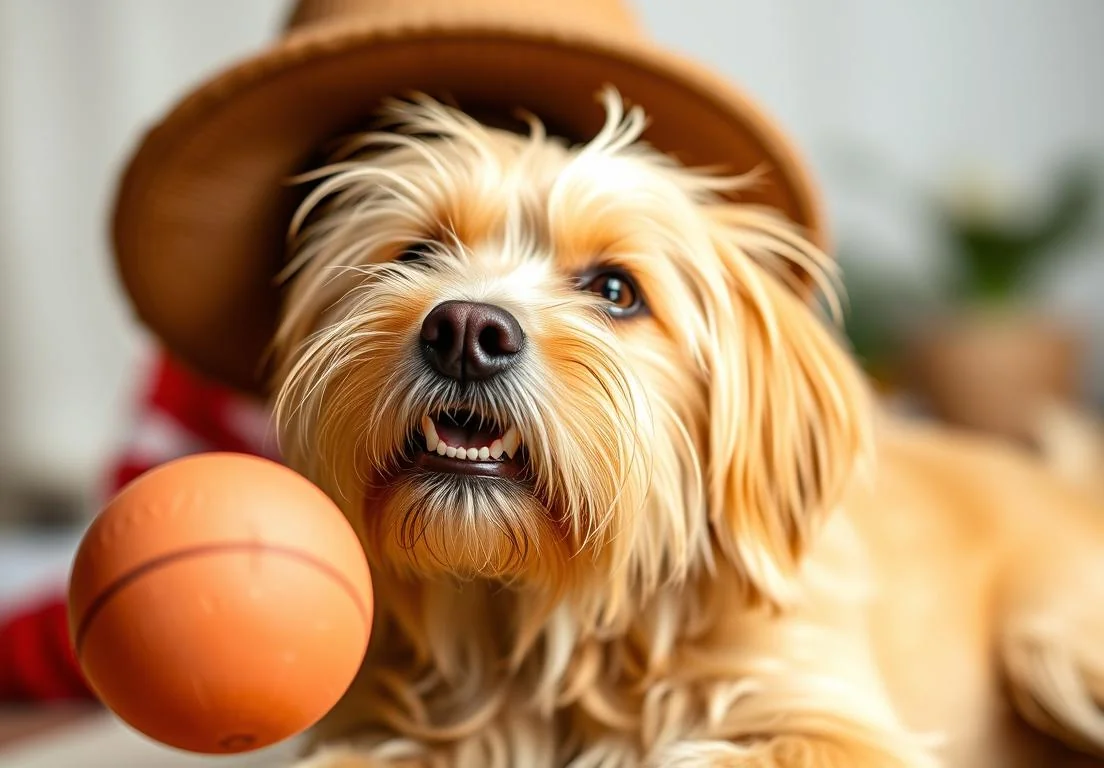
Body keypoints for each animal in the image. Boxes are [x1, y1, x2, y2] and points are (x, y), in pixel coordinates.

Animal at [264, 91, 1104, 768]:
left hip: (1051, 645)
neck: (544, 632)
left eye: (616, 290)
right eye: (418, 253)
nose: (466, 330)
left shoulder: (831, 720)